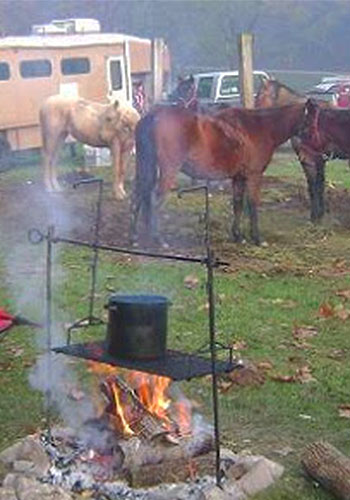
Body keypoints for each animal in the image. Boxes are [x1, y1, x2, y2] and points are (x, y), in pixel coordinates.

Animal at [130, 102, 304, 246]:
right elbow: (252, 204)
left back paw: (134, 237)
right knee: (154, 200)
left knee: (138, 195)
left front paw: (238, 236)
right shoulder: (253, 176)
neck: (258, 128)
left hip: (144, 166)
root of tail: (153, 116)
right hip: (168, 171)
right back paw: (158, 239)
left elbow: (238, 204)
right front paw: (257, 238)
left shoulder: (238, 178)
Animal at [254, 77, 348, 222]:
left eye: (260, 95)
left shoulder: (312, 157)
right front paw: (319, 214)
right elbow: (315, 185)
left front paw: (316, 216)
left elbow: (316, 186)